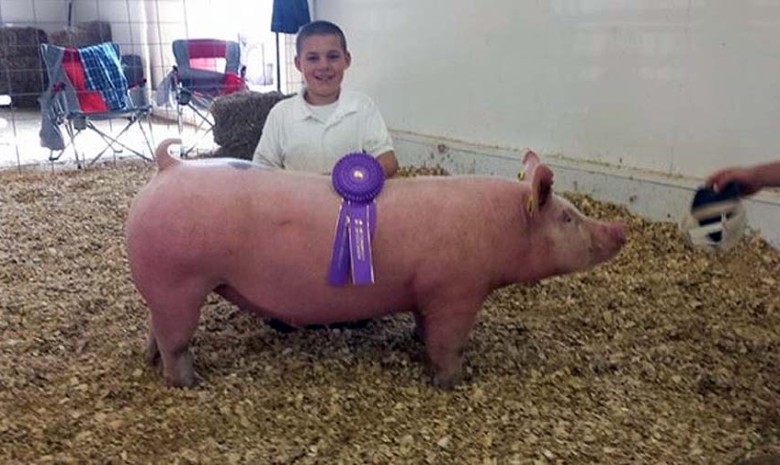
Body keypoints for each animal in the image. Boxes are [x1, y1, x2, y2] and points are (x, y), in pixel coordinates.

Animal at [128, 139, 628, 388]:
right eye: (568, 217)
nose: (620, 230)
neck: (498, 228)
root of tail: (170, 168)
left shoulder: (428, 294)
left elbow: (426, 328)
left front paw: (417, 343)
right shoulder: (457, 290)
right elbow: (448, 342)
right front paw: (451, 382)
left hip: (165, 289)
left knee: (156, 329)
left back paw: (150, 362)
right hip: (180, 282)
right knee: (175, 339)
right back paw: (188, 382)